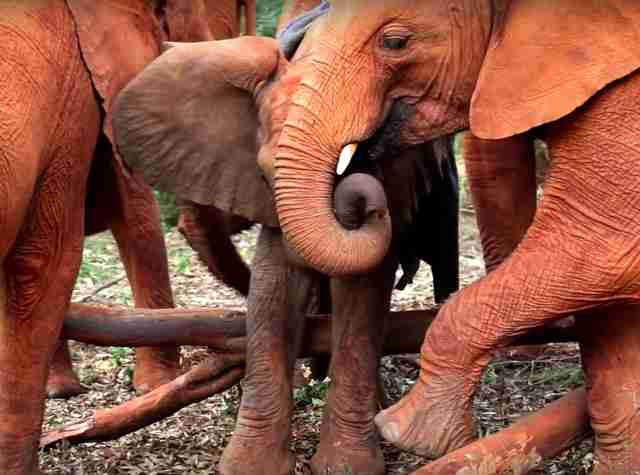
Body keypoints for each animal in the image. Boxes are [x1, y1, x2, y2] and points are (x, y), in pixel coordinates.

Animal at [112, 24, 461, 475]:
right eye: (264, 174)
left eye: (362, 159)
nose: (364, 205)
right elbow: (275, 285)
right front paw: (249, 467)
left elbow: (362, 290)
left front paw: (347, 467)